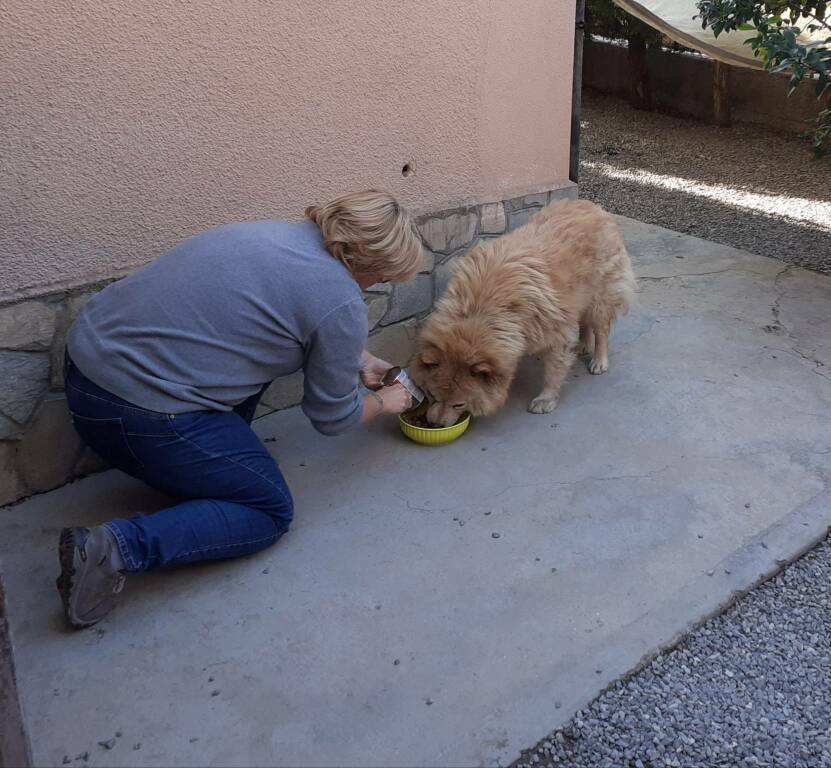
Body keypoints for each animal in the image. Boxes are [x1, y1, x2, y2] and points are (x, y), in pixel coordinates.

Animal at [412, 198, 636, 426]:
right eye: (432, 395)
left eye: (458, 404)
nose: (435, 424)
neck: (480, 310)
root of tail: (592, 206)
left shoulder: (556, 333)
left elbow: (553, 371)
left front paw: (546, 398)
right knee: (585, 322)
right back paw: (582, 344)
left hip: (601, 297)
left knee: (601, 330)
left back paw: (599, 360)